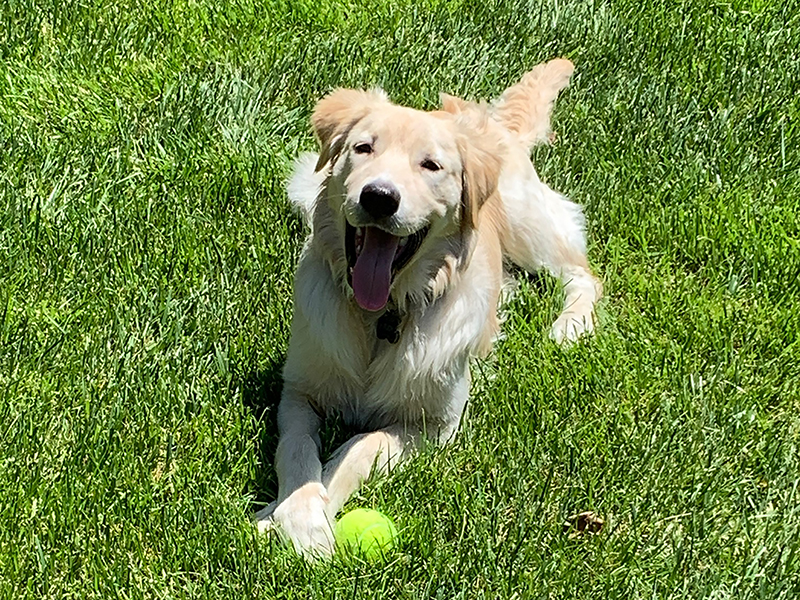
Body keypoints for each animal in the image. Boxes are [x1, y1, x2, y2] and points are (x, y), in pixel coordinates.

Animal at [256, 58, 600, 556]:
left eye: (431, 165)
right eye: (363, 148)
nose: (379, 197)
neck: (381, 315)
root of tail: (489, 119)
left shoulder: (437, 426)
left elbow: (364, 444)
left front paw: (298, 522)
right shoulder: (299, 393)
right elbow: (297, 451)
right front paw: (294, 516)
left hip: (528, 225)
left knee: (582, 273)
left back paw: (571, 325)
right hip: (302, 184)